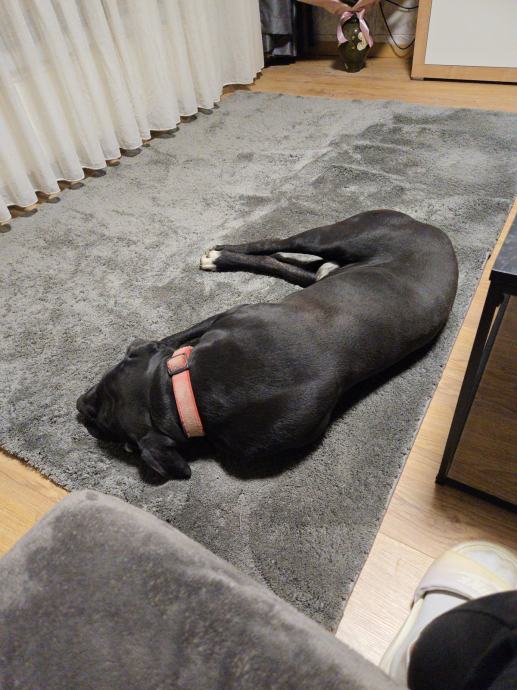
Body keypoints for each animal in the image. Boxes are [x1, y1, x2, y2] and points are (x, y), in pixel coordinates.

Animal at [76, 210, 458, 480]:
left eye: (120, 443)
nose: (79, 407)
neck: (184, 396)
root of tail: (432, 229)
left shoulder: (230, 314)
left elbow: (174, 337)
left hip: (341, 236)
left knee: (277, 245)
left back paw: (220, 255)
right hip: (335, 252)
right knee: (290, 260)